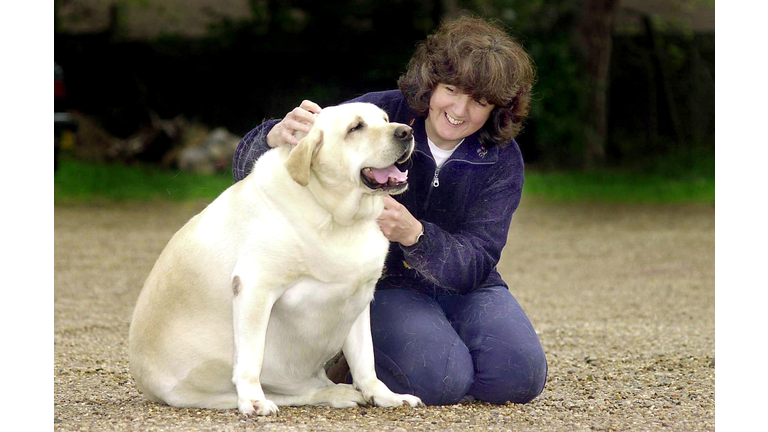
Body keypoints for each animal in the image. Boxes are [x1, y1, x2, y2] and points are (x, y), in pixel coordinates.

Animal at [129, 102, 424, 416]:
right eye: (355, 128)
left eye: (385, 119)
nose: (406, 132)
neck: (336, 216)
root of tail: (144, 382)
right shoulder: (254, 286)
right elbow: (251, 358)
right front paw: (253, 400)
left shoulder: (359, 297)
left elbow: (365, 359)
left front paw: (385, 396)